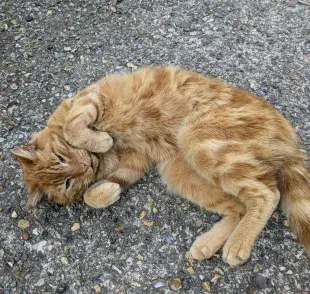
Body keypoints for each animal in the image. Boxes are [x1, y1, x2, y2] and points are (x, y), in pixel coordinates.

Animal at [12, 67, 310, 266]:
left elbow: (74, 128)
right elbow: (94, 194)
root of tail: (291, 141)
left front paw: (99, 140)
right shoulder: (135, 162)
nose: (84, 165)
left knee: (267, 194)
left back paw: (238, 244)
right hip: (180, 171)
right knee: (239, 206)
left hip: (198, 139)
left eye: (61, 158)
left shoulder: (89, 99)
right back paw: (208, 244)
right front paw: (107, 190)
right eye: (67, 182)